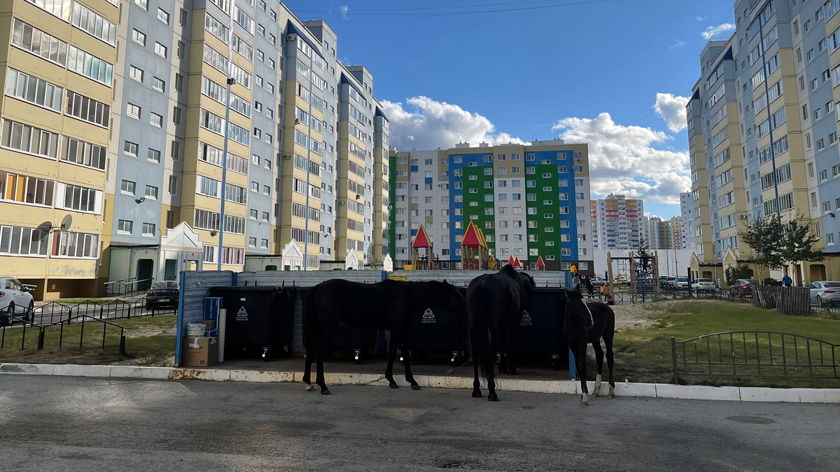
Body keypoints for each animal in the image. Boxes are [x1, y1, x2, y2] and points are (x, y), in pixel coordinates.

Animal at [306, 280, 470, 394]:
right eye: (455, 295)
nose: (467, 308)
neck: (407, 296)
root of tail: (318, 287)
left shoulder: (402, 330)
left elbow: (405, 354)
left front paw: (411, 381)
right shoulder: (396, 329)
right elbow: (392, 354)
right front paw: (393, 380)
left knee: (311, 352)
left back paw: (308, 383)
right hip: (328, 326)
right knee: (319, 353)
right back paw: (323, 386)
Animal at [462, 268, 536, 400]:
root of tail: (482, 284)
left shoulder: (502, 324)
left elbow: (503, 342)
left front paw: (502, 367)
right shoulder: (512, 322)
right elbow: (509, 342)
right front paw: (511, 368)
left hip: (473, 326)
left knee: (475, 354)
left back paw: (476, 390)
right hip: (494, 325)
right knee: (491, 353)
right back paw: (492, 391)